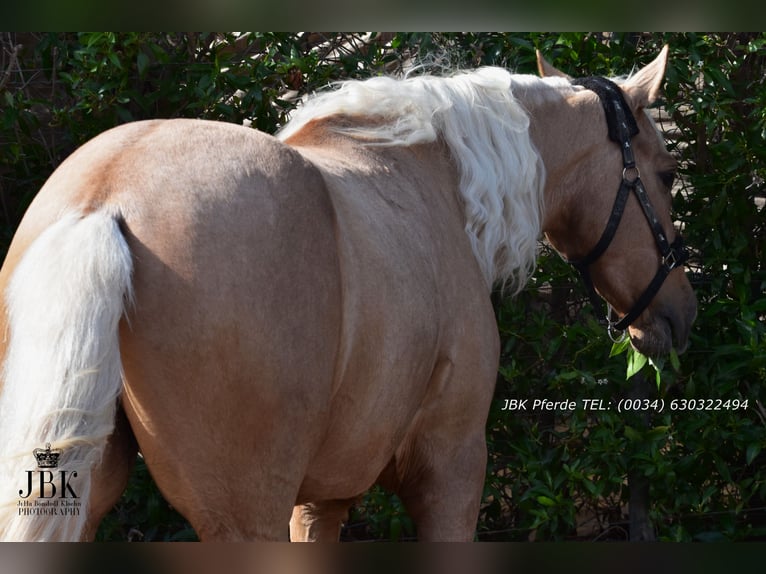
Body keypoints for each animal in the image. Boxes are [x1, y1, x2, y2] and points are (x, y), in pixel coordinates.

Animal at [0, 47, 696, 541]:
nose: (680, 312)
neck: (438, 183)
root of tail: (106, 200)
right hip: (244, 516)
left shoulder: (321, 500)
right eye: (666, 174)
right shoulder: (451, 469)